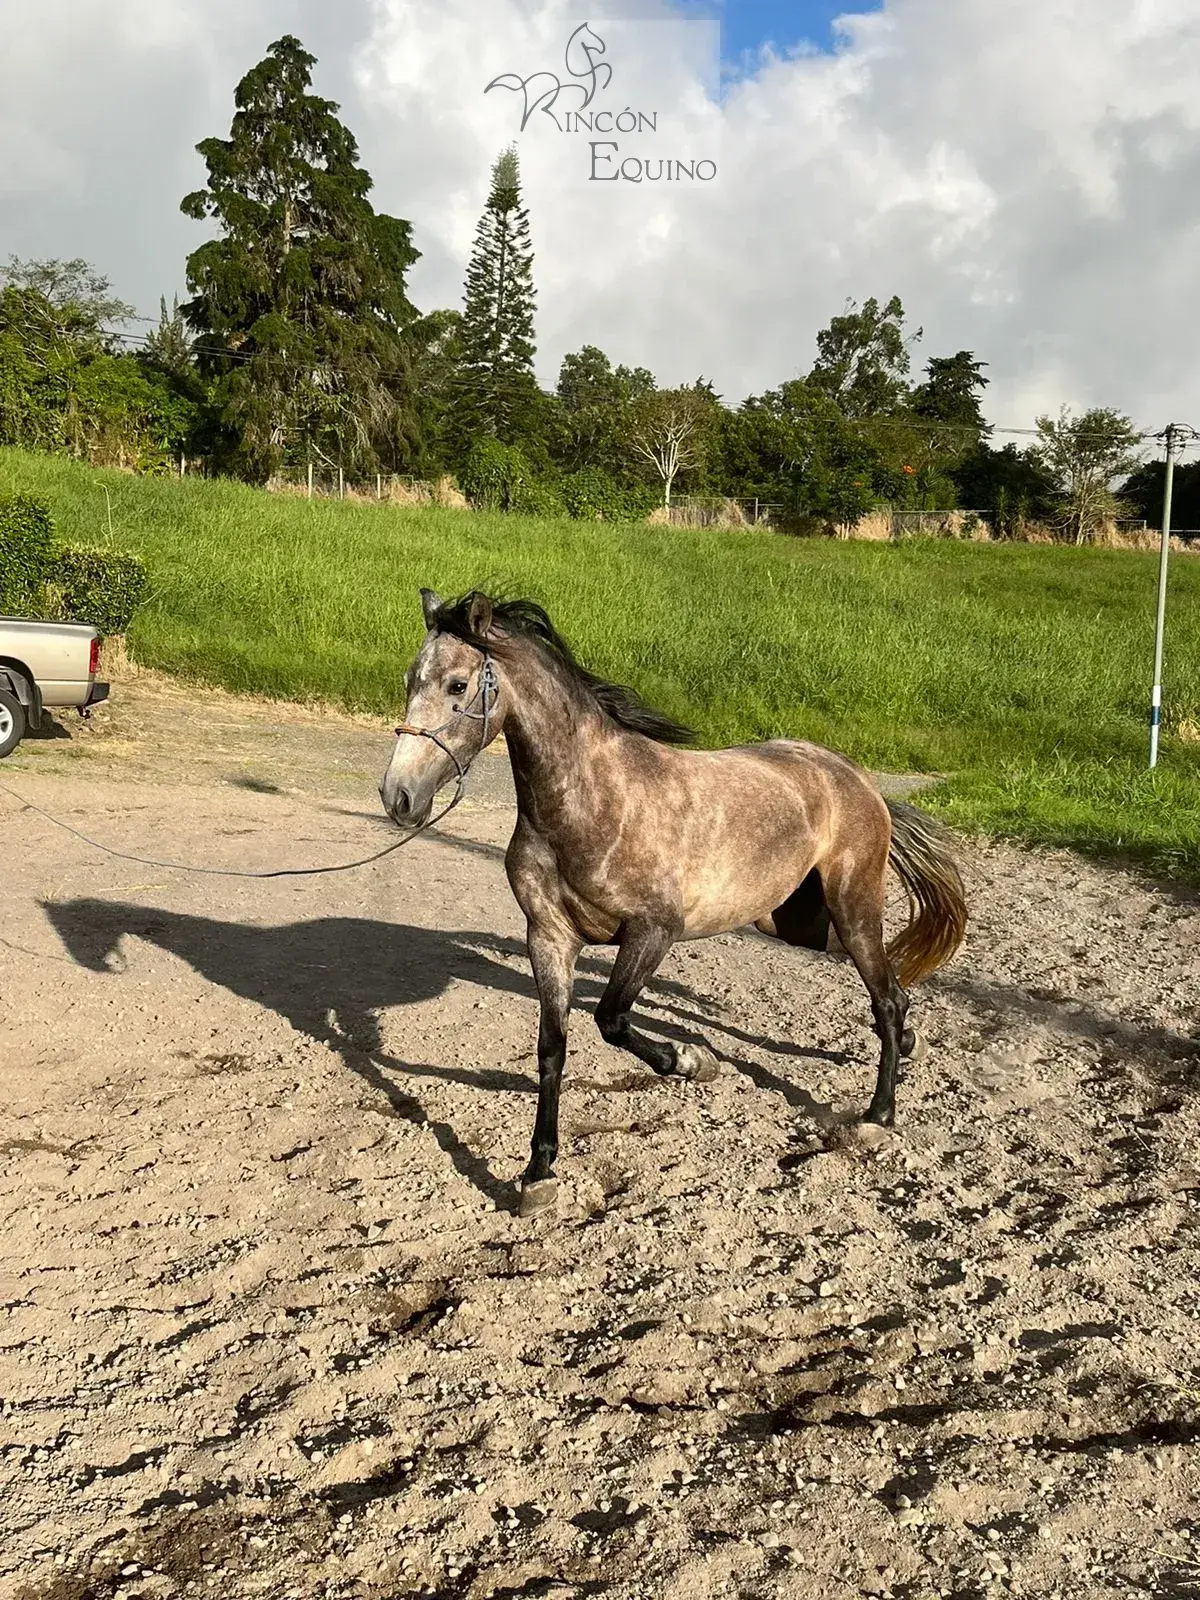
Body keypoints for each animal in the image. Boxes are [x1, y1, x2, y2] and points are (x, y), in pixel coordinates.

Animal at [380, 590, 967, 1218]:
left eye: (458, 685)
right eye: (410, 679)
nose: (399, 798)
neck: (592, 804)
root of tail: (857, 780)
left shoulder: (653, 931)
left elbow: (611, 1019)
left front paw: (692, 1063)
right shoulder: (550, 938)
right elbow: (552, 1049)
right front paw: (538, 1174)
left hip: (852, 907)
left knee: (886, 995)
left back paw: (878, 1115)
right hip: (799, 922)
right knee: (892, 987)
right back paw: (905, 1046)